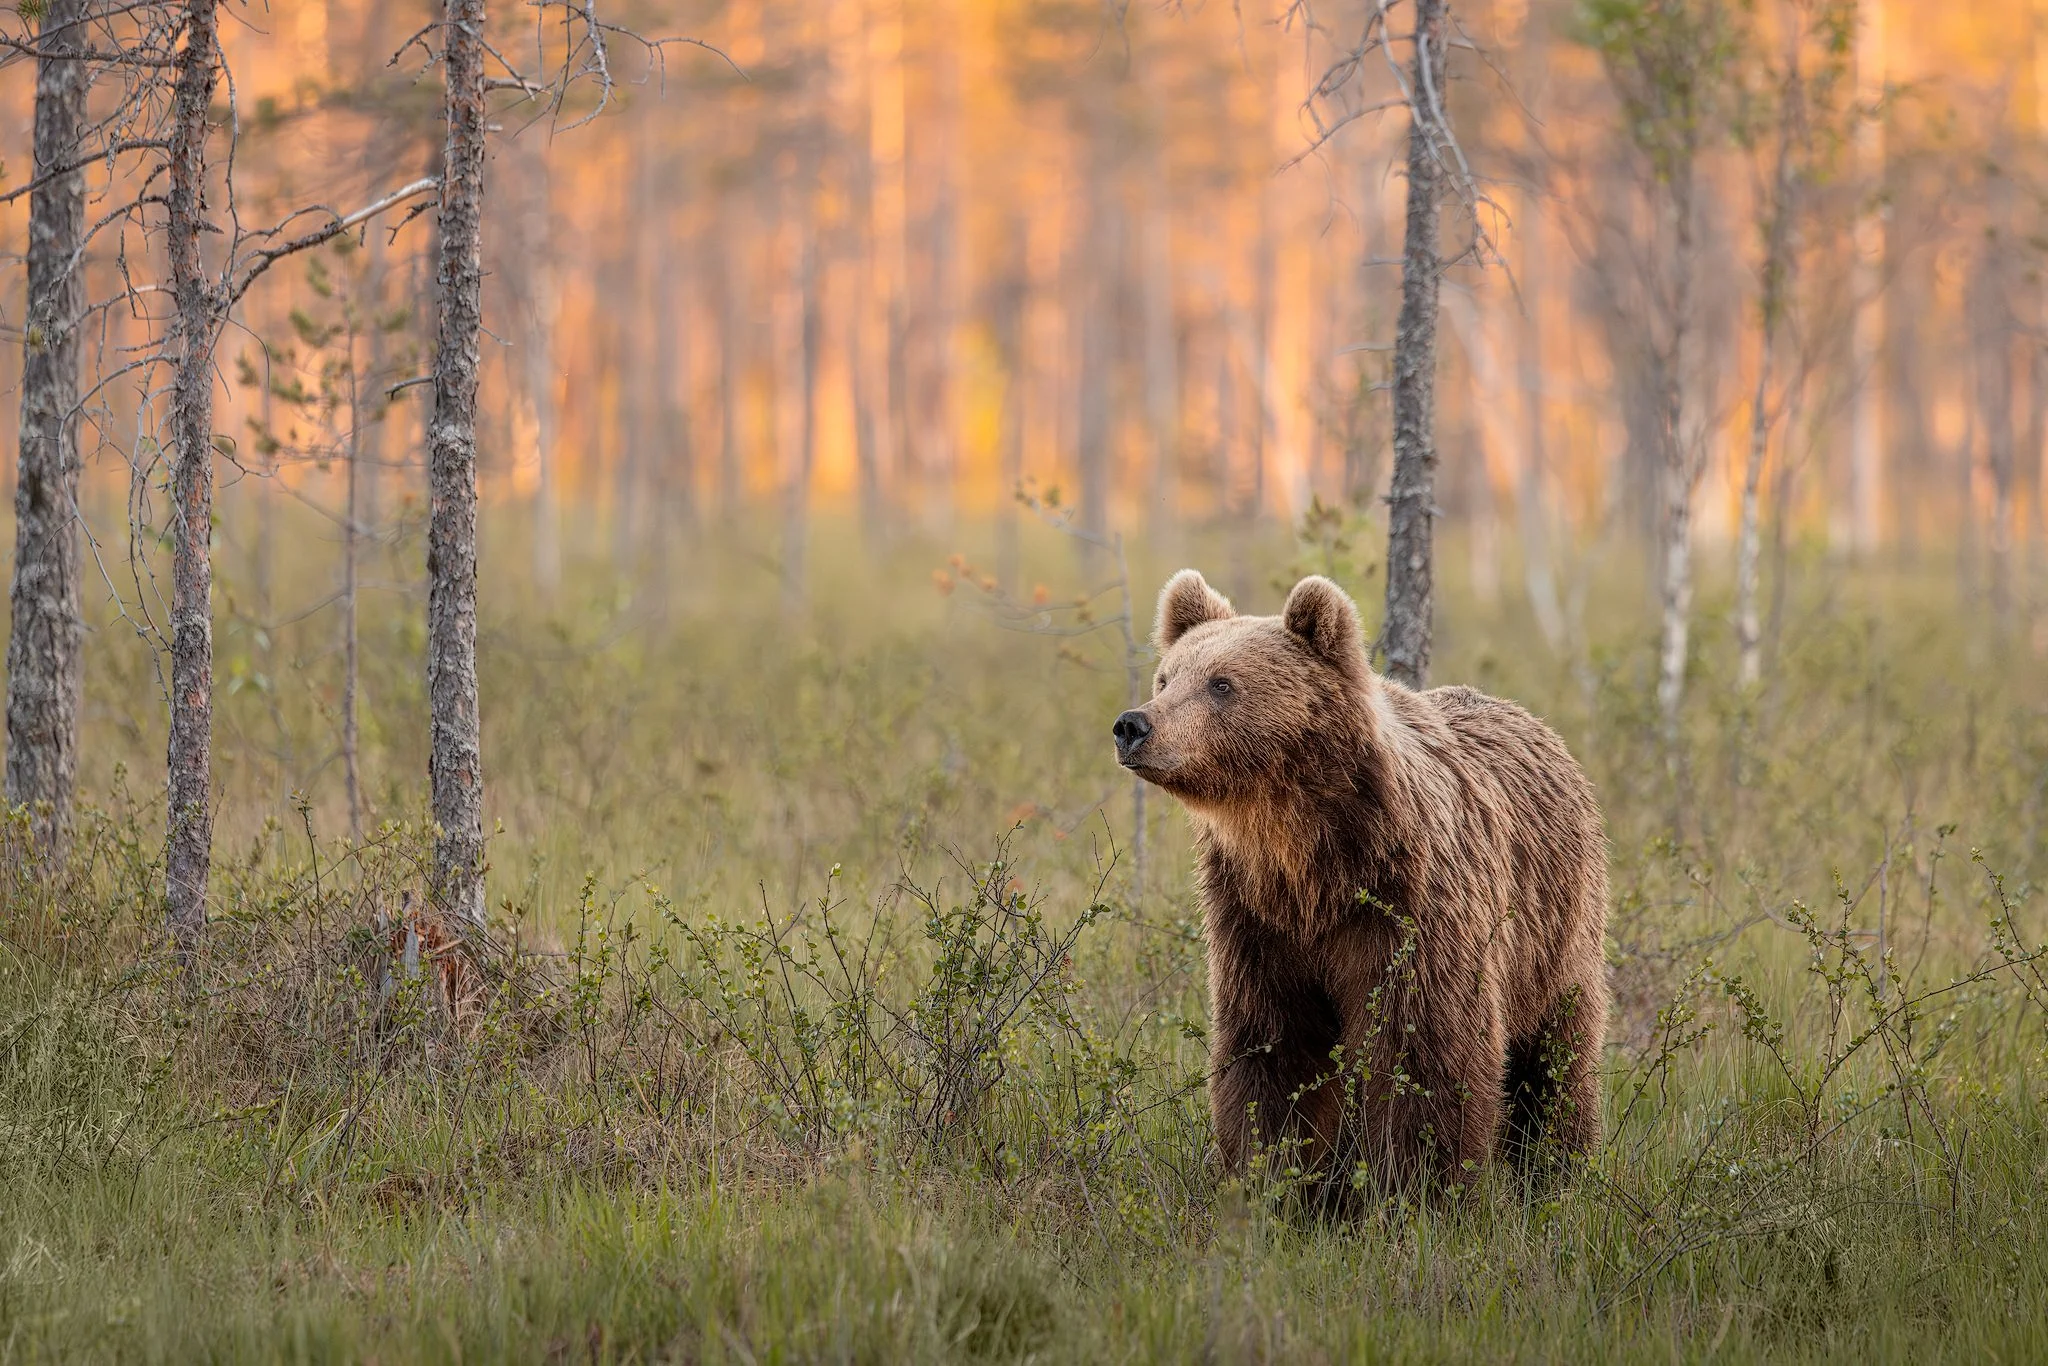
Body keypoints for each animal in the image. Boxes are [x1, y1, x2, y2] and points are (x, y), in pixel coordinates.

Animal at [1112, 569, 1609, 1198]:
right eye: (1166, 676)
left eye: (1222, 684)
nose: (1134, 725)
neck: (1309, 858)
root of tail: (1533, 721)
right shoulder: (1255, 922)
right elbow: (1273, 1050)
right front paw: (1270, 1180)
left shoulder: (1409, 904)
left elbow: (1426, 1052)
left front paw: (1419, 1188)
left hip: (1553, 925)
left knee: (1556, 1054)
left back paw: (1555, 1169)